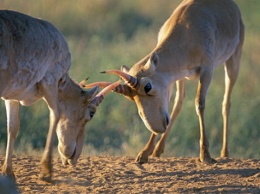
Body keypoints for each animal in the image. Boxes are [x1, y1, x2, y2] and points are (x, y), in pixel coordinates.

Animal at [0, 10, 120, 183]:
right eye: (91, 113)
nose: (73, 158)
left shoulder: (12, 95)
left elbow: (13, 126)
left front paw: (8, 173)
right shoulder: (50, 80)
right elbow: (55, 114)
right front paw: (47, 172)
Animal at [99, 0, 244, 164]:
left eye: (147, 86)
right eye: (129, 97)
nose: (157, 127)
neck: (187, 29)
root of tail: (233, 6)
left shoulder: (207, 69)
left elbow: (199, 104)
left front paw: (205, 155)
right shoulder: (172, 77)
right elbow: (170, 104)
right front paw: (144, 153)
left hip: (234, 59)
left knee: (226, 102)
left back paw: (224, 152)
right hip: (181, 79)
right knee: (178, 102)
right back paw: (158, 150)